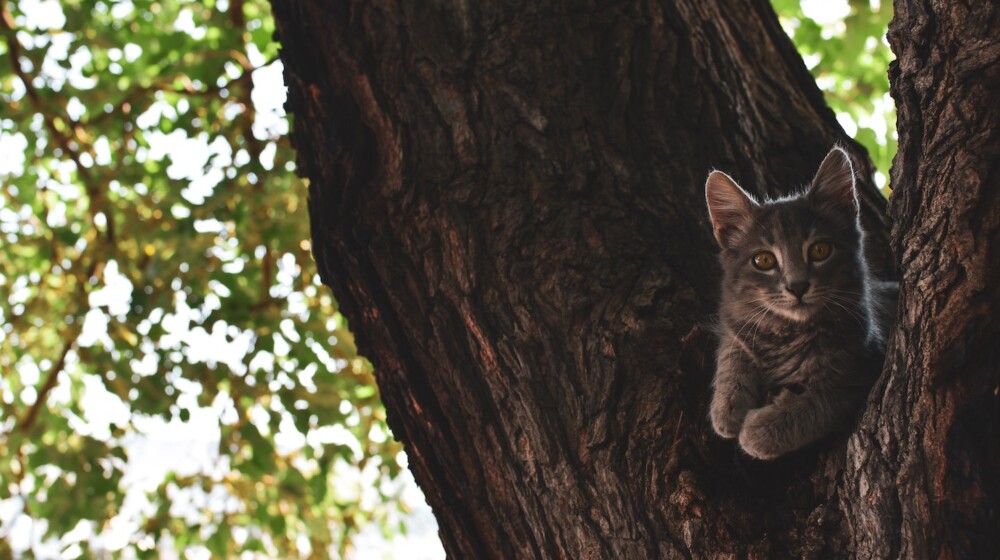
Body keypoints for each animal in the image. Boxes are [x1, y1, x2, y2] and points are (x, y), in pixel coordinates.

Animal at [704, 147, 900, 462]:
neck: (787, 334)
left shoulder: (862, 367)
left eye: (820, 250)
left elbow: (816, 404)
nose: (797, 286)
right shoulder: (736, 322)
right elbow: (732, 353)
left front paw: (758, 431)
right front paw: (726, 407)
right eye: (763, 260)